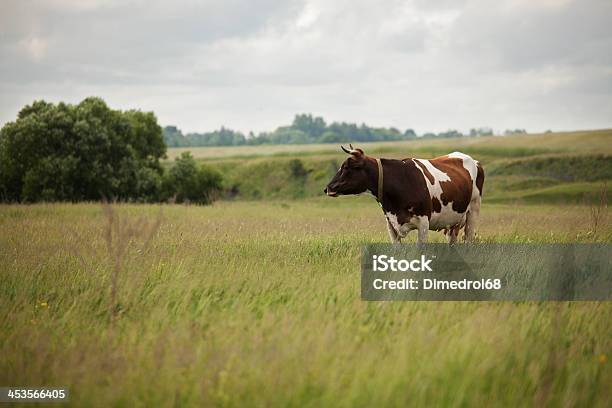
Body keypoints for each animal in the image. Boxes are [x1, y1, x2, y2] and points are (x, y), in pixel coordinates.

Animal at [322, 145, 486, 244]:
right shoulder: (391, 224)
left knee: (469, 239)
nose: (328, 188)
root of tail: (474, 160)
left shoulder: (424, 223)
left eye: (347, 167)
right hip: (453, 221)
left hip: (473, 211)